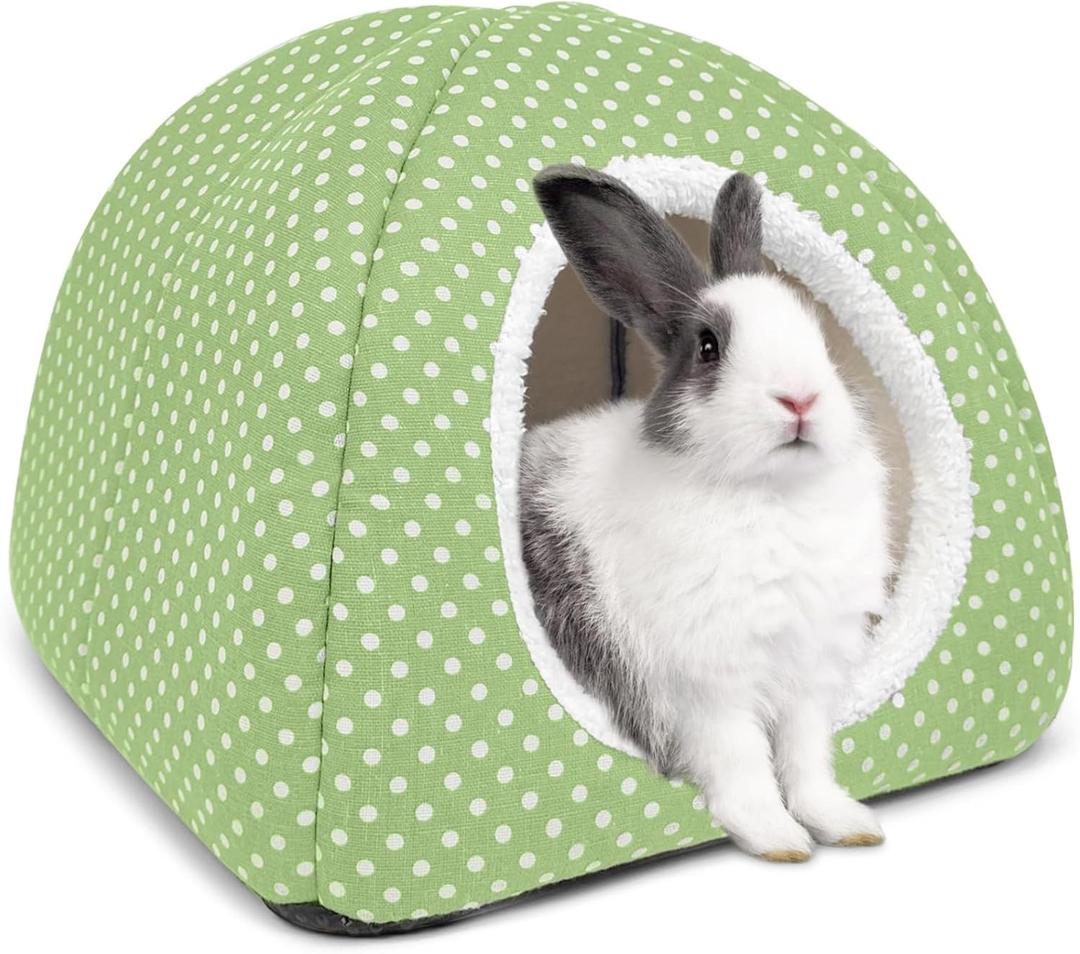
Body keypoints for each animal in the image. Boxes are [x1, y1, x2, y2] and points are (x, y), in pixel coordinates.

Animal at [519, 165, 892, 862]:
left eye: (818, 336)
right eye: (709, 347)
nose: (800, 398)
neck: (772, 494)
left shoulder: (808, 677)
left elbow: (807, 761)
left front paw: (848, 824)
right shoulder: (708, 686)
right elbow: (741, 763)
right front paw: (779, 840)